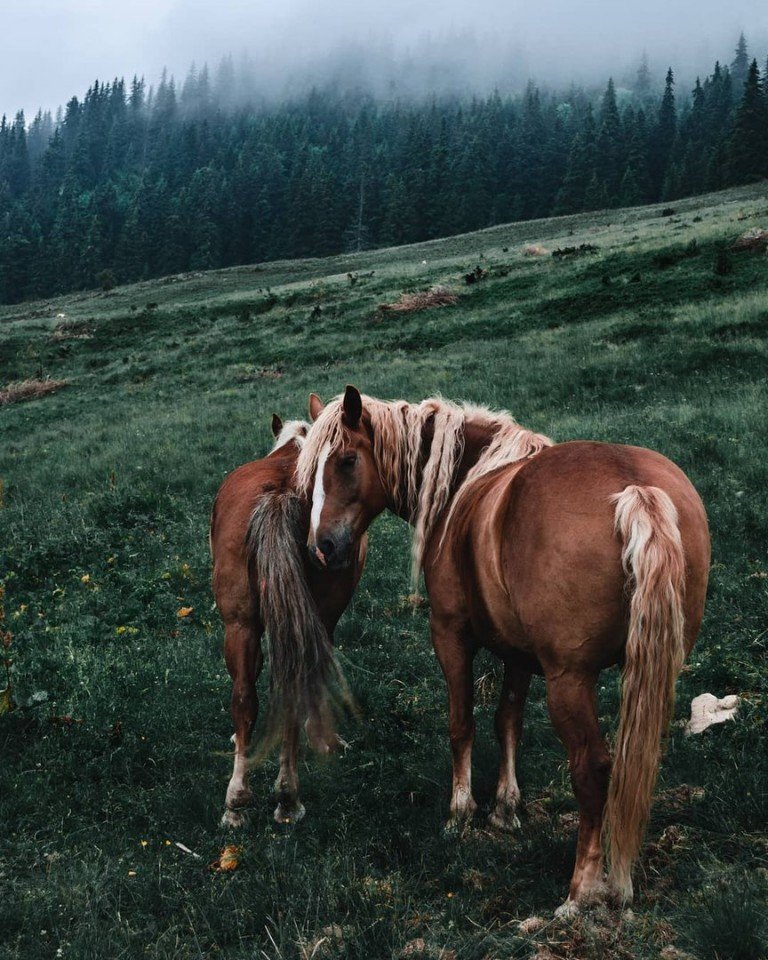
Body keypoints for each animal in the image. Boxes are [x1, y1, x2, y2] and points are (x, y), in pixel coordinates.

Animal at [296, 386, 712, 912]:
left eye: (347, 460)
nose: (322, 547)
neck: (466, 483)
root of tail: (635, 489)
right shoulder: (519, 655)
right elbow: (507, 722)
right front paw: (505, 808)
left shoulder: (450, 634)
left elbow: (462, 723)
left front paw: (461, 810)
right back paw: (619, 883)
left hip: (569, 682)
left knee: (593, 769)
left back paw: (581, 891)